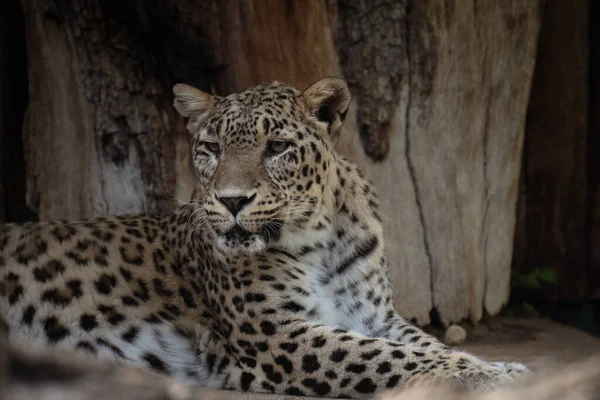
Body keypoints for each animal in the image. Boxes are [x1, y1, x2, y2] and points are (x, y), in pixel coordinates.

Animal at [0, 77, 528, 396]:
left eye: (276, 147)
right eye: (211, 148)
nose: (233, 201)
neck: (321, 240)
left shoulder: (375, 316)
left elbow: (423, 345)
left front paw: (496, 367)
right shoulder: (275, 333)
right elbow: (385, 356)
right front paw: (486, 375)